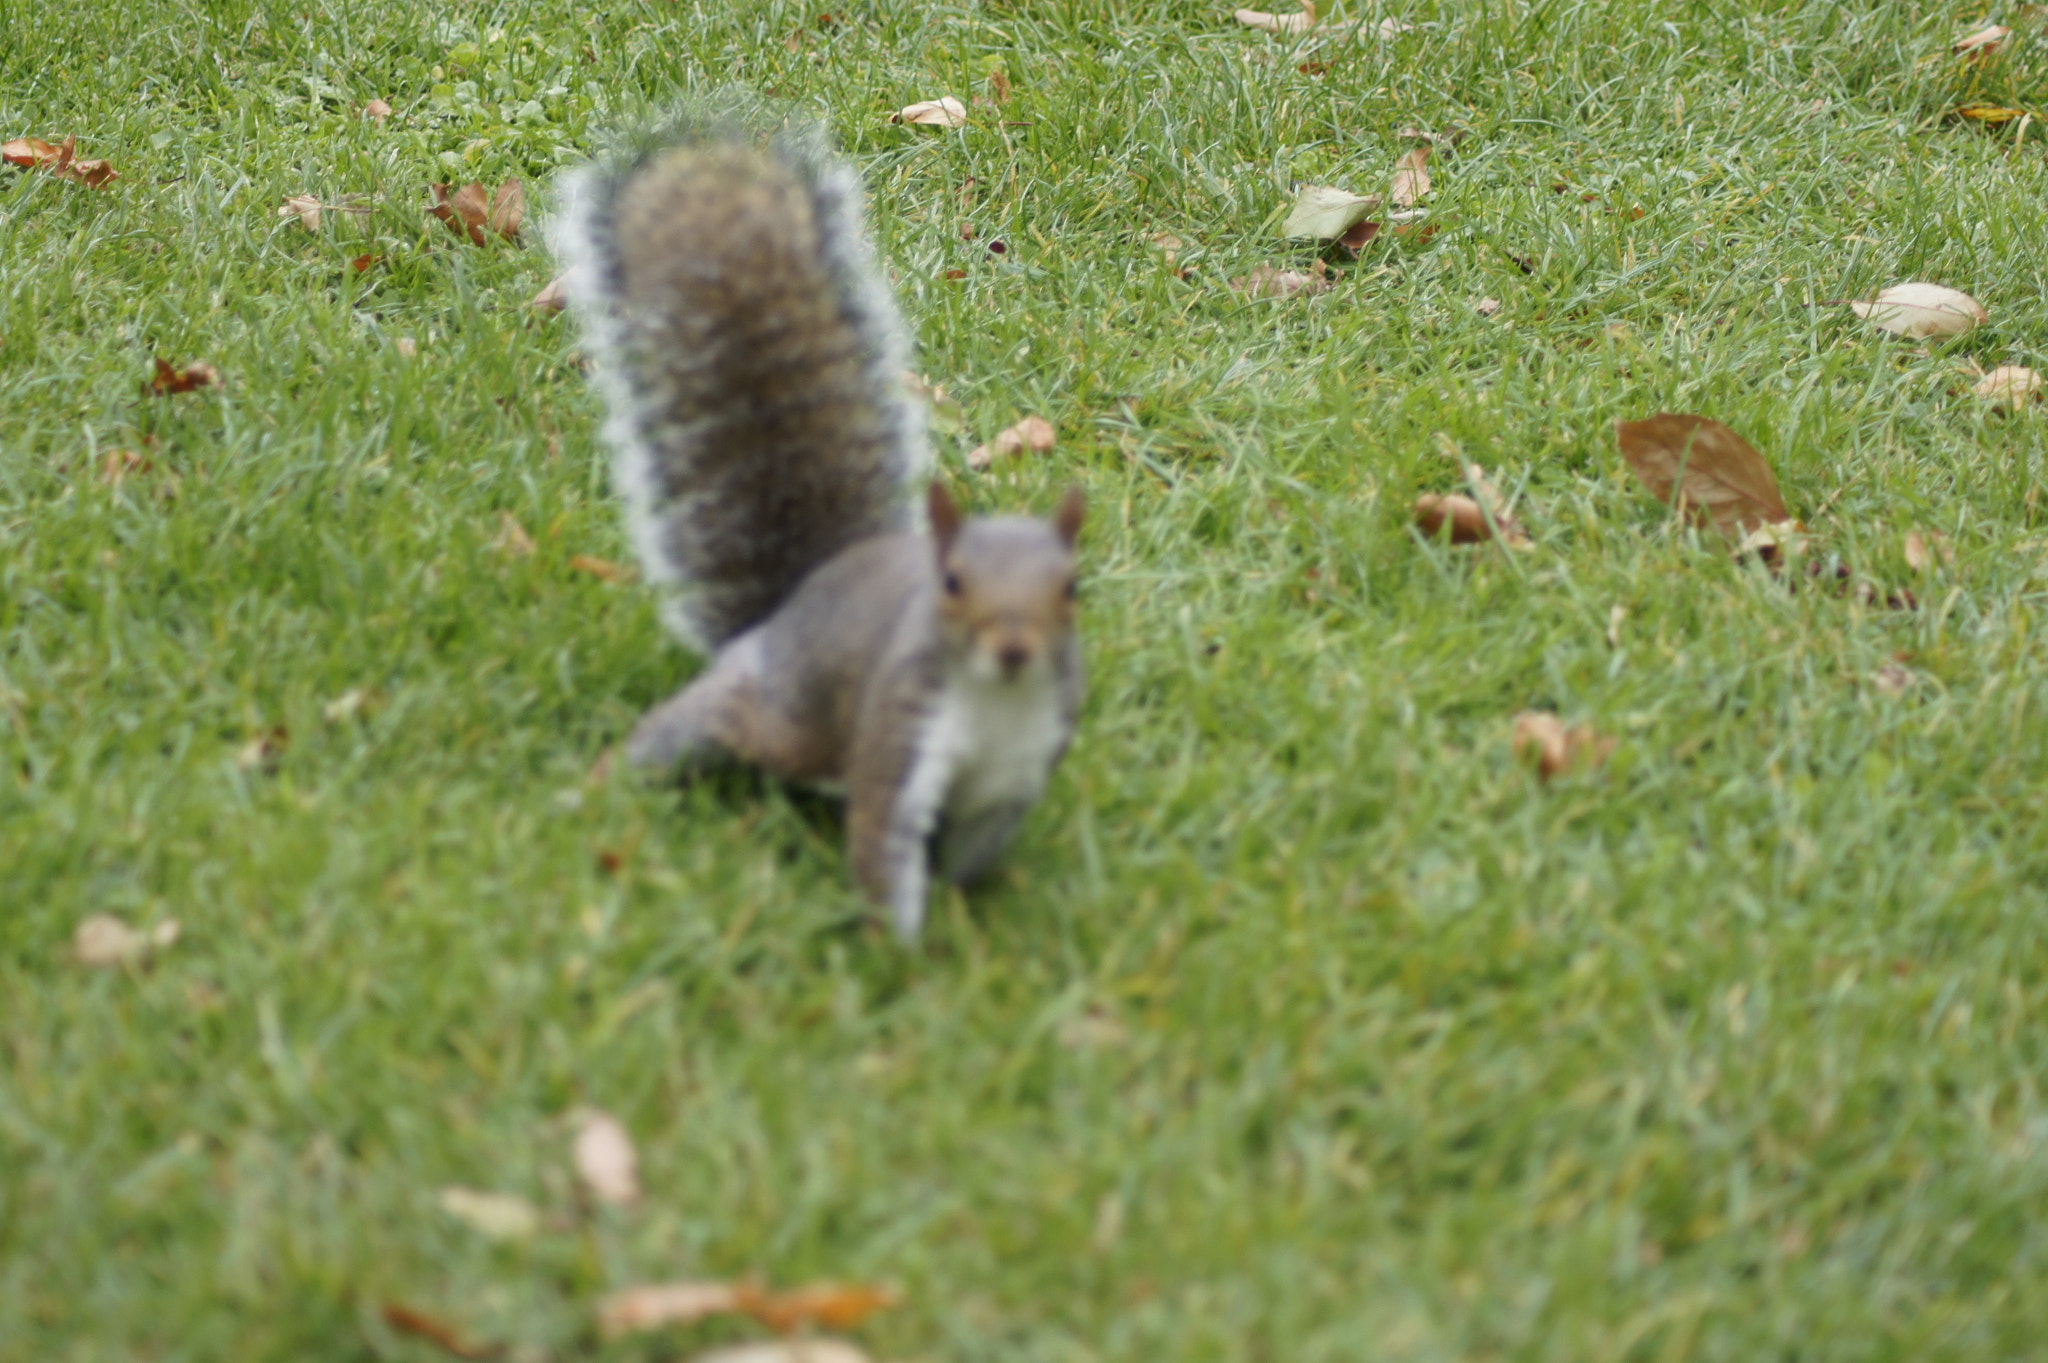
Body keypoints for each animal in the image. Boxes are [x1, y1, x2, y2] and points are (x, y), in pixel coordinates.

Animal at [544, 116, 1089, 941]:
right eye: (951, 584)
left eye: (1071, 589)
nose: (1015, 648)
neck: (996, 700)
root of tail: (792, 603)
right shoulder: (898, 739)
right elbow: (882, 847)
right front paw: (902, 951)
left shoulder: (1014, 775)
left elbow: (964, 858)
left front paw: (965, 927)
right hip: (758, 703)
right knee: (680, 730)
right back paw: (599, 786)